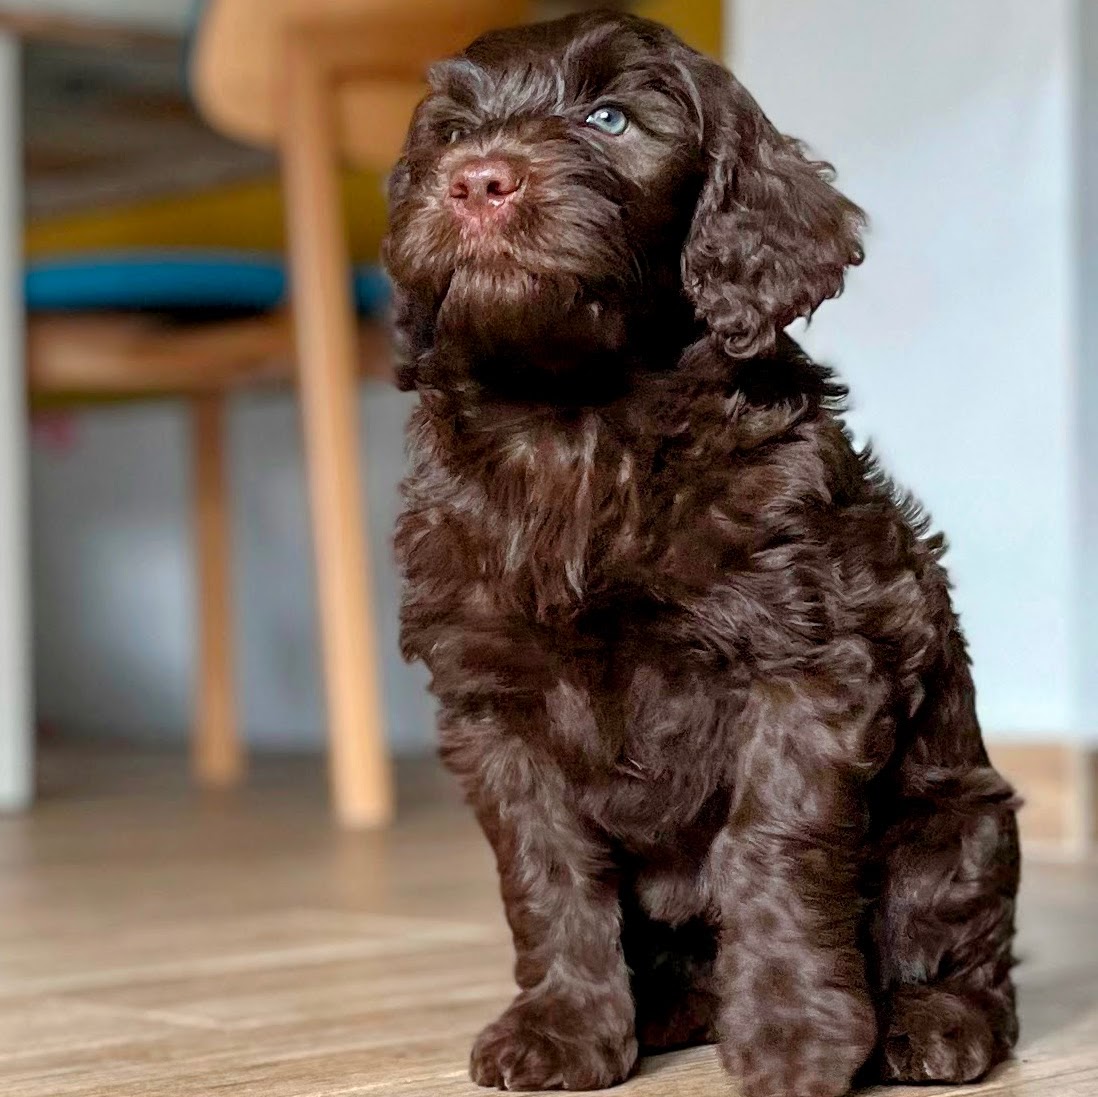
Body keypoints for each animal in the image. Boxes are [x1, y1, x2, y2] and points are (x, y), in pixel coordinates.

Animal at [386, 10, 1018, 1097]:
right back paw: (670, 1006)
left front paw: (794, 1038)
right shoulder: (493, 704)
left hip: (962, 823)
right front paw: (564, 1027)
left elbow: (771, 844)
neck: (577, 422)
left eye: (609, 118)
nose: (475, 180)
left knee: (966, 951)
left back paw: (935, 1019)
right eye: (450, 134)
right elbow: (545, 866)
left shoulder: (805, 665)